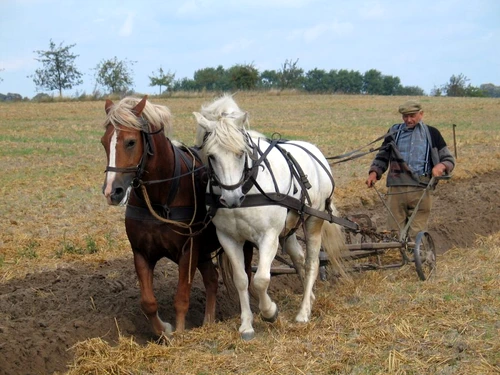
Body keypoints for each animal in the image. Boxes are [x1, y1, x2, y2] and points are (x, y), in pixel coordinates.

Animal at [100, 97, 226, 338]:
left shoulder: (188, 251)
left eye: (131, 142)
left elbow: (181, 298)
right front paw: (164, 332)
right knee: (212, 279)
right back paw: (208, 322)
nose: (112, 192)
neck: (160, 198)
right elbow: (148, 302)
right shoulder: (141, 252)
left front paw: (179, 334)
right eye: (104, 142)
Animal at [193, 94, 346, 340]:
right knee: (299, 258)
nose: (232, 198)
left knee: (312, 262)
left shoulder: (269, 236)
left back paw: (303, 312)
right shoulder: (228, 238)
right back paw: (309, 298)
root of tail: (315, 152)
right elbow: (242, 280)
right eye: (211, 156)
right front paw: (246, 325)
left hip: (314, 220)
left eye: (241, 153)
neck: (248, 188)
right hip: (289, 228)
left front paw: (270, 312)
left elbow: (261, 280)